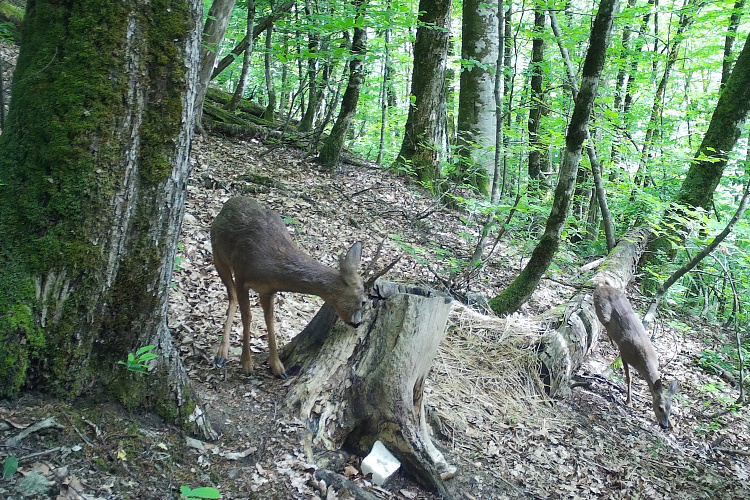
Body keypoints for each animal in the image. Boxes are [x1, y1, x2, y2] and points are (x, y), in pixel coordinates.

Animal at [210, 197, 368, 376]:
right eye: (363, 301)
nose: (357, 323)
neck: (270, 267)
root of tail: (229, 202)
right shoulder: (242, 277)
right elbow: (247, 317)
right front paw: (247, 364)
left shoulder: (268, 290)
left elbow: (270, 320)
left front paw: (278, 367)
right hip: (218, 255)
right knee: (232, 297)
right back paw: (221, 354)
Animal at [592, 286, 680, 430]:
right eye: (660, 408)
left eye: (670, 409)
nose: (664, 425)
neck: (644, 361)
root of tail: (602, 287)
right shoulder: (624, 354)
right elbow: (629, 378)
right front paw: (629, 401)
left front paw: (673, 424)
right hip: (602, 311)